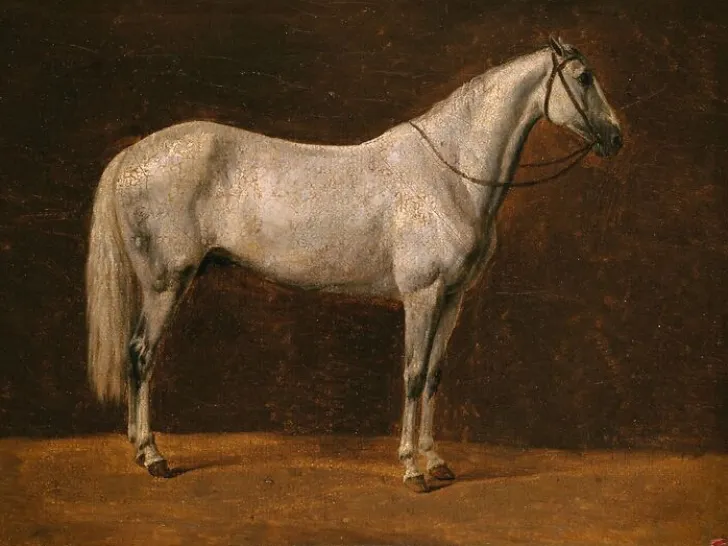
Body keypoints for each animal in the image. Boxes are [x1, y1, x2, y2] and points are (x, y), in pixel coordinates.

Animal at [86, 36, 622, 493]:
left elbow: (434, 374)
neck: (448, 175)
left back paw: (141, 451)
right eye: (583, 77)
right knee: (141, 354)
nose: (616, 137)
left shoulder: (452, 296)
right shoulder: (422, 294)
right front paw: (411, 468)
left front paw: (436, 461)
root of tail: (131, 156)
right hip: (165, 283)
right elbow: (412, 373)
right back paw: (154, 456)